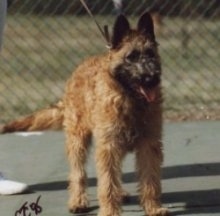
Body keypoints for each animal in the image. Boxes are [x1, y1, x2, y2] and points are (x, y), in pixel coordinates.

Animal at [0, 12, 168, 216]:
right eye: (131, 57)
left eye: (150, 54)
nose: (151, 78)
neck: (130, 98)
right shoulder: (108, 147)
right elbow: (107, 183)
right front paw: (109, 211)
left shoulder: (148, 145)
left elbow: (150, 180)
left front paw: (153, 208)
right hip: (77, 141)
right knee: (78, 174)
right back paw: (78, 201)